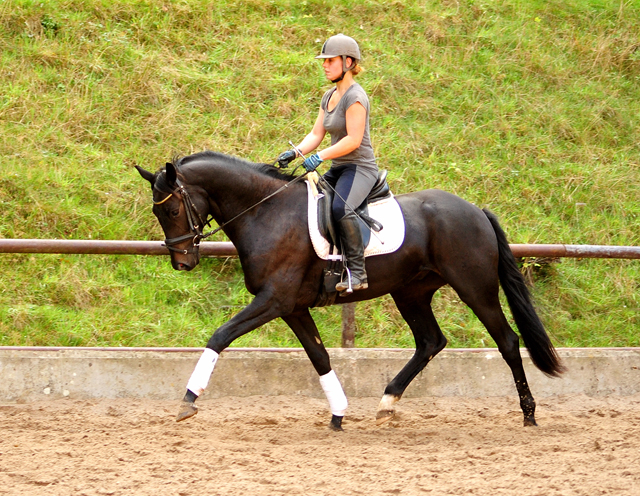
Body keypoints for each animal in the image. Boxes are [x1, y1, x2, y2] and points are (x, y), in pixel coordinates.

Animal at [134, 150, 560, 430]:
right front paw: (338, 413)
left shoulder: (274, 301)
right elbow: (319, 357)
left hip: (475, 288)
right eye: (159, 212)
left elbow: (220, 336)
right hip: (410, 292)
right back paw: (387, 403)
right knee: (430, 342)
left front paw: (189, 400)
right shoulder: (292, 307)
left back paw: (528, 413)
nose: (182, 262)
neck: (265, 212)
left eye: (171, 210)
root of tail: (475, 210)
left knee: (507, 341)